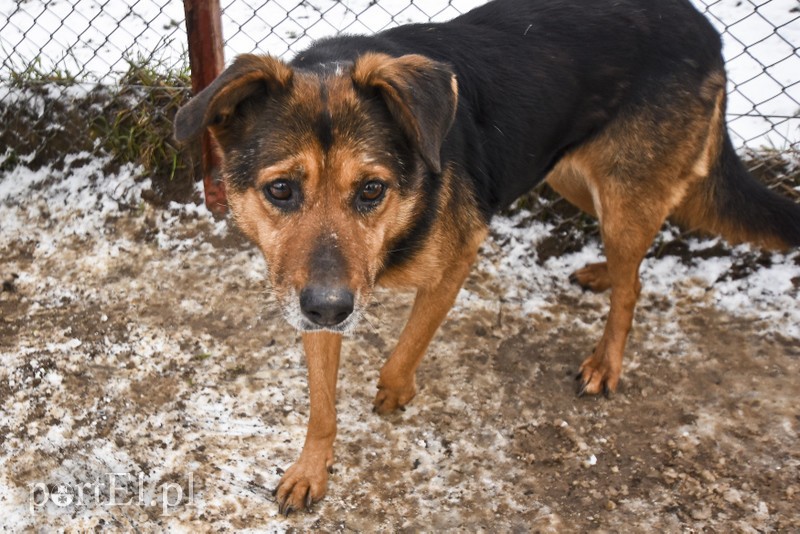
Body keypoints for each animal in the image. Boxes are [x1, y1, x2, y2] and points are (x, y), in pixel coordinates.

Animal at [172, 0, 796, 516]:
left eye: (371, 190)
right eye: (280, 190)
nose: (330, 309)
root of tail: (702, 23)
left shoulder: (456, 258)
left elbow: (402, 353)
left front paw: (396, 393)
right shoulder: (312, 296)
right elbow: (322, 403)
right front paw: (310, 469)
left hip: (623, 191)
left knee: (634, 281)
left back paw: (606, 361)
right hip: (569, 172)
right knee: (631, 261)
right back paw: (602, 272)